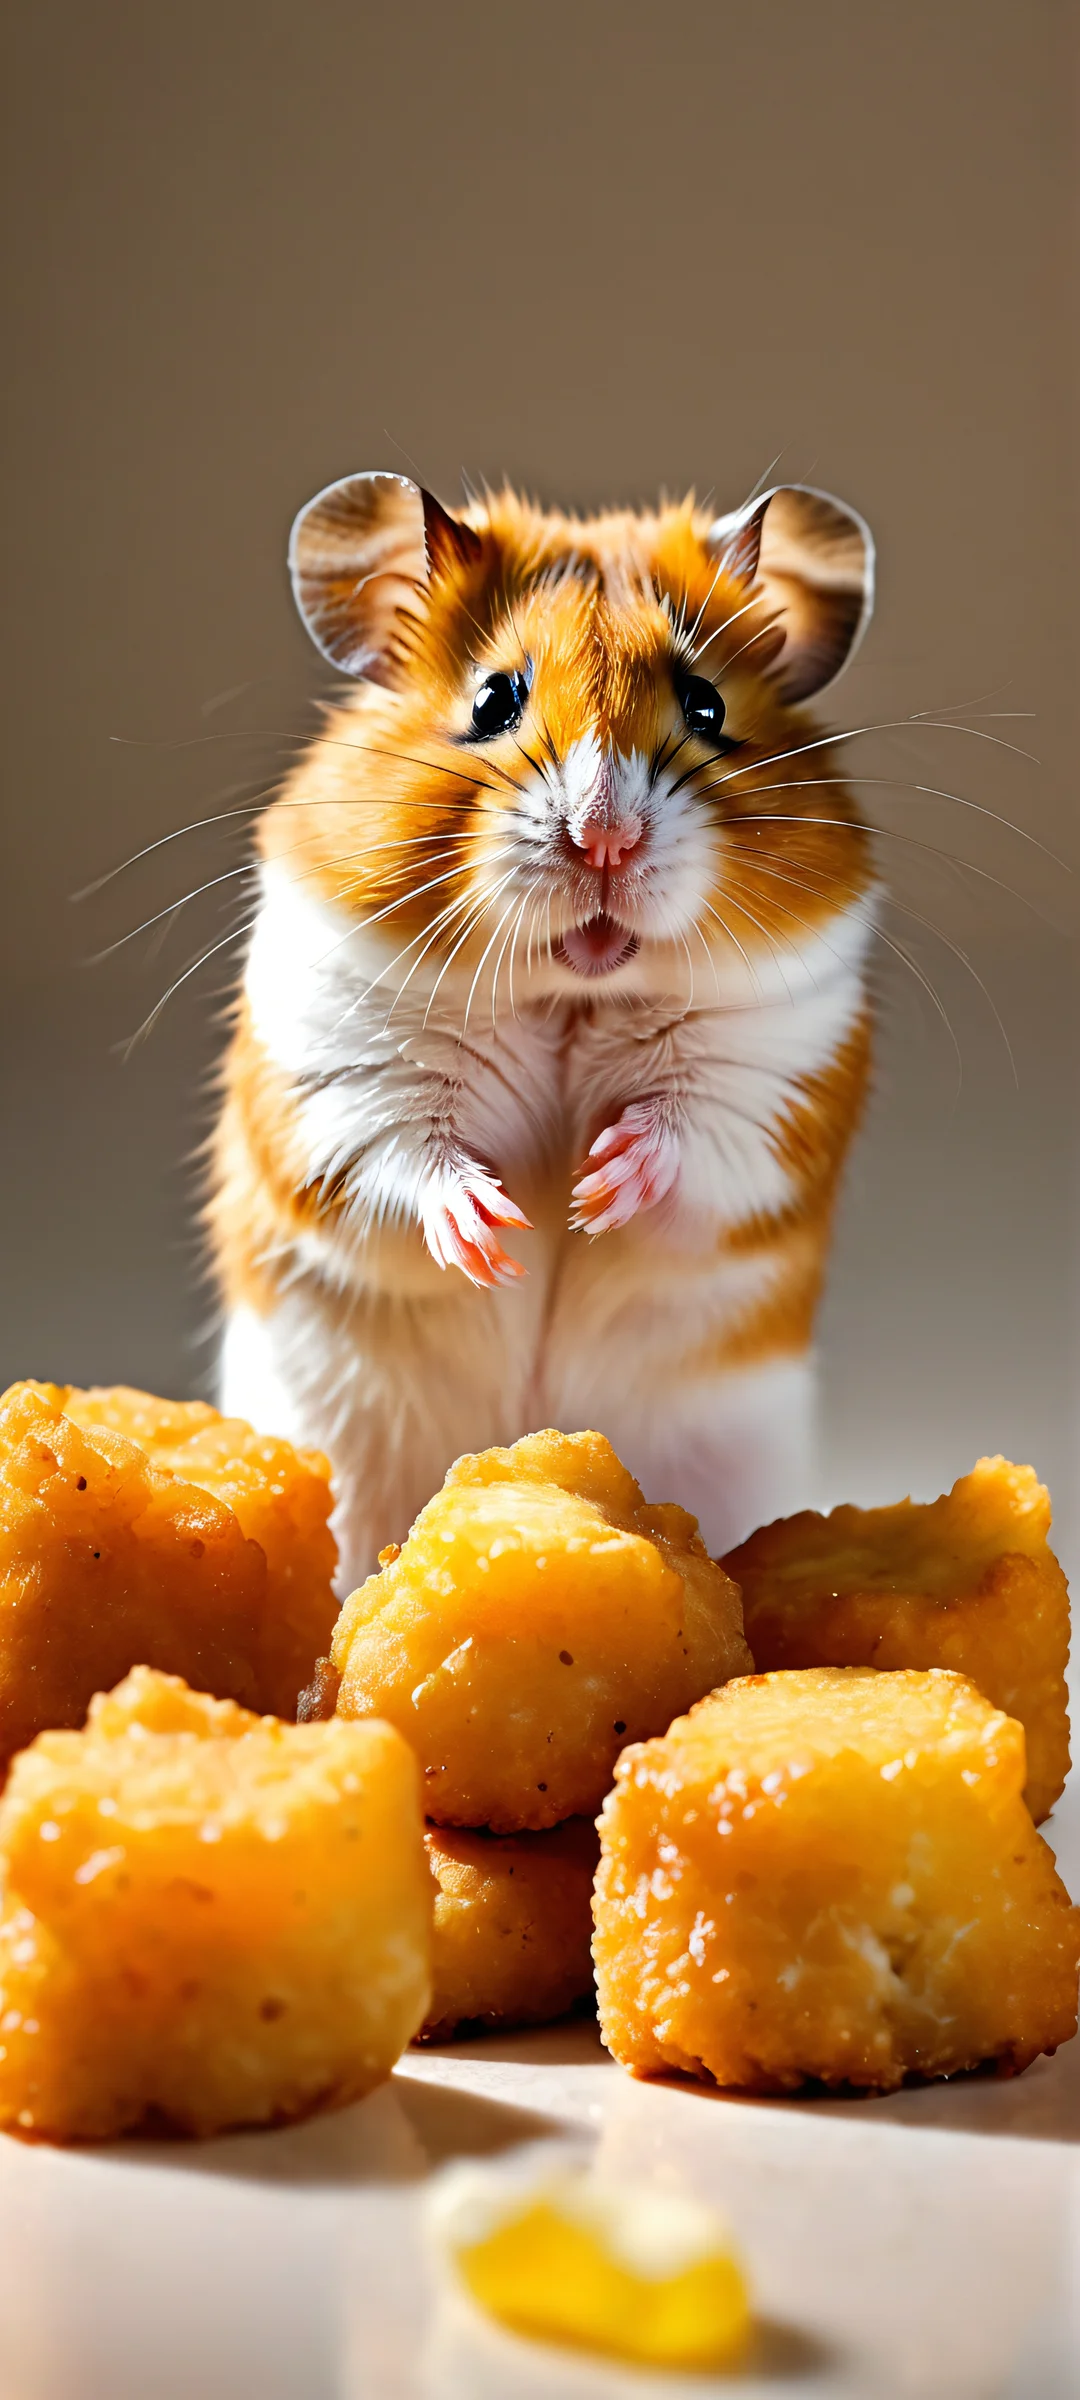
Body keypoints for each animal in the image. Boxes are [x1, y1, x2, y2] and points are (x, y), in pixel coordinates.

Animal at [210, 473, 877, 1590]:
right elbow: (406, 1160)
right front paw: (503, 1232)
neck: (569, 995)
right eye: (493, 700)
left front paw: (597, 1190)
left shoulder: (775, 1085)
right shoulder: (336, 1083)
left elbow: (695, 1138)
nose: (605, 838)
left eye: (707, 706)